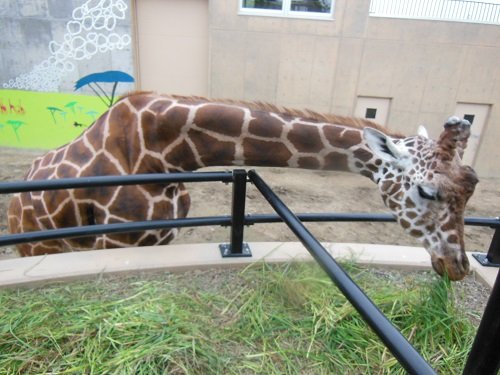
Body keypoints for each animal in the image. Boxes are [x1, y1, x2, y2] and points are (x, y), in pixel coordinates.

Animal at [7, 93, 476, 282]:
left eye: (471, 186)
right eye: (428, 193)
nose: (457, 267)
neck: (165, 152)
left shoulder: (161, 236)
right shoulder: (116, 243)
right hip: (38, 246)